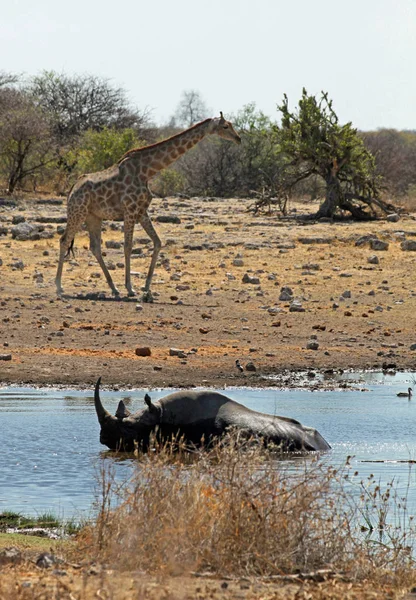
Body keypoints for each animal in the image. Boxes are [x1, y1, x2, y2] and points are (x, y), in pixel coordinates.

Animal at [55, 112, 240, 300]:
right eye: (225, 126)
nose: (238, 138)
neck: (148, 171)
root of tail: (72, 189)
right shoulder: (129, 210)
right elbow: (128, 247)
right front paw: (130, 288)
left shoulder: (141, 211)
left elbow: (157, 242)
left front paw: (146, 286)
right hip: (78, 212)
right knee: (64, 240)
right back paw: (59, 286)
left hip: (93, 216)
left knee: (95, 247)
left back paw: (114, 289)